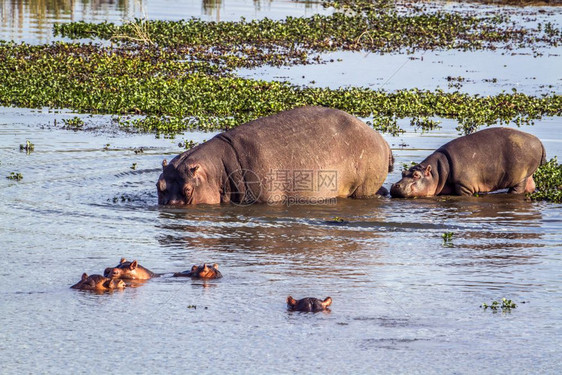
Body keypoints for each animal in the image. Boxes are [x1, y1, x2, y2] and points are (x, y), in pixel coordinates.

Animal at [155, 106, 392, 206]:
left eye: (188, 189)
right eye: (159, 186)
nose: (171, 206)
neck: (216, 171)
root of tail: (381, 139)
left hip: (362, 185)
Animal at [390, 128, 544, 198]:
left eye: (416, 175)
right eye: (403, 172)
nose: (395, 185)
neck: (437, 173)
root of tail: (538, 141)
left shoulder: (464, 186)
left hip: (520, 176)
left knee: (518, 188)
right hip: (528, 174)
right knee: (530, 186)